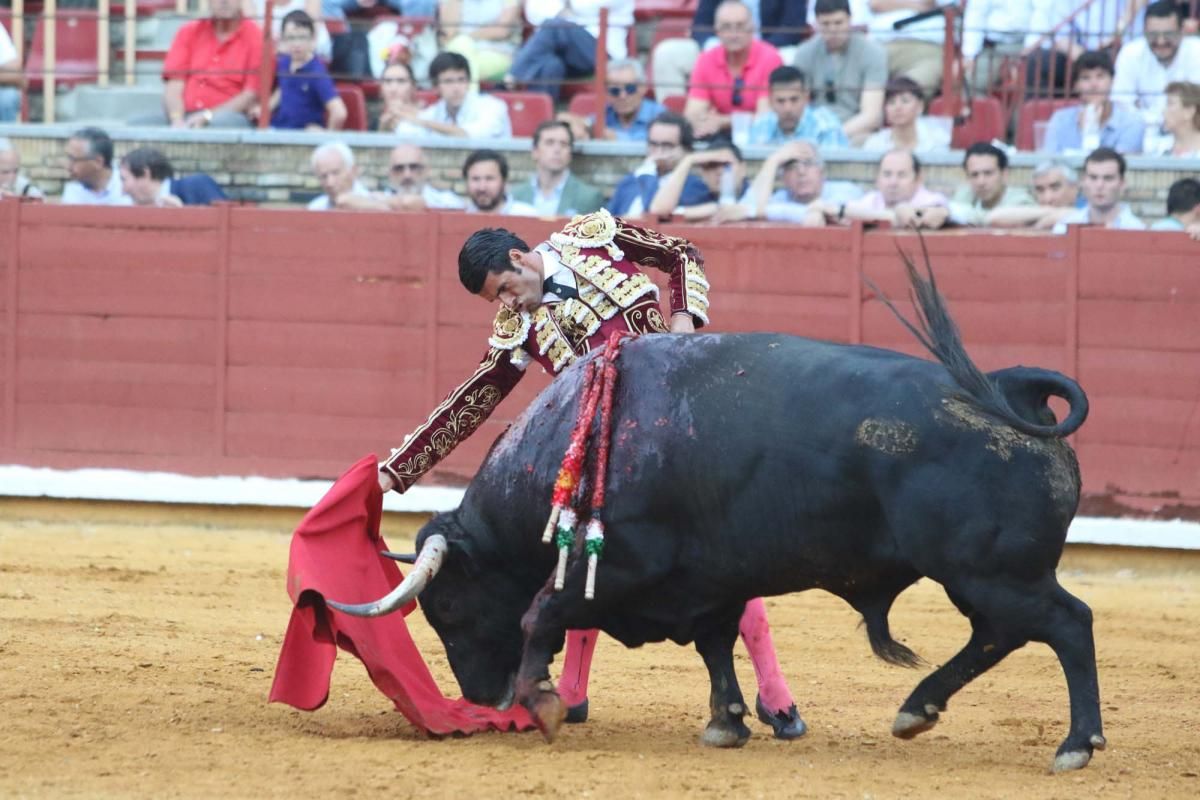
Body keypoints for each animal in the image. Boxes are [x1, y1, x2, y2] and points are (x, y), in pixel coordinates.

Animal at [331, 260, 1104, 772]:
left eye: (447, 608)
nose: (484, 701)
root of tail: (1006, 389)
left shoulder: (623, 564)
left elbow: (540, 613)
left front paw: (543, 701)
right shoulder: (707, 577)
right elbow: (714, 640)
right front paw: (728, 722)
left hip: (992, 569)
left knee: (1065, 623)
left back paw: (1075, 744)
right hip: (985, 576)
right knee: (1001, 634)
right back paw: (916, 709)